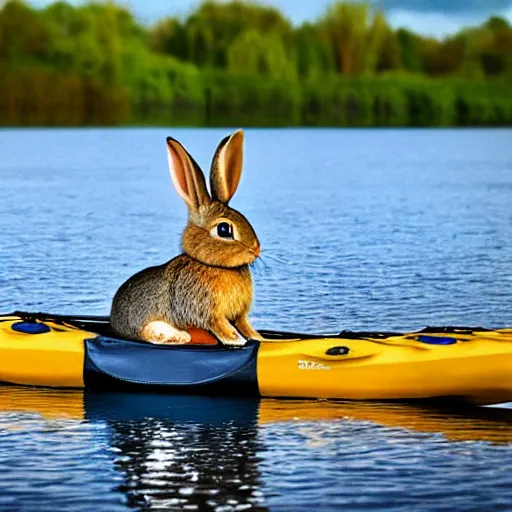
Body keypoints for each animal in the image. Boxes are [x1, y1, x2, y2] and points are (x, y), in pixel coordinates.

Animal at [110, 131, 262, 348]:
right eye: (224, 229)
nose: (256, 250)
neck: (215, 266)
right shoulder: (207, 312)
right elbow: (222, 327)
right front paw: (237, 340)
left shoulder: (239, 316)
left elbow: (245, 326)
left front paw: (259, 337)